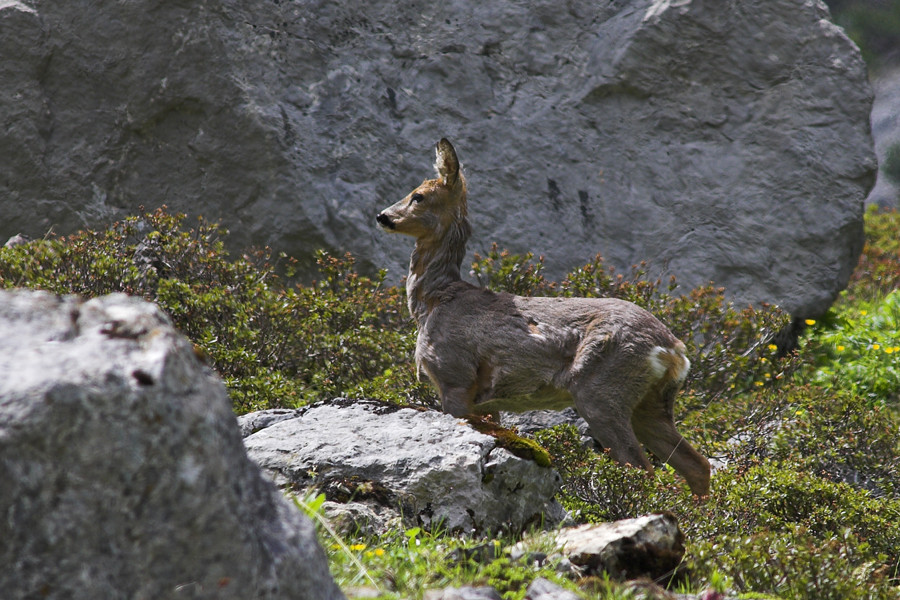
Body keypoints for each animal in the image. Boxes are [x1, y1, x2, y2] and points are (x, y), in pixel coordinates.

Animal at [374, 138, 712, 494]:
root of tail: (673, 349)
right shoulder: (487, 403)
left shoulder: (454, 376)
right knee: (697, 465)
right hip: (650, 403)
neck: (434, 300)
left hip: (602, 391)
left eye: (418, 195)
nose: (382, 216)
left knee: (641, 470)